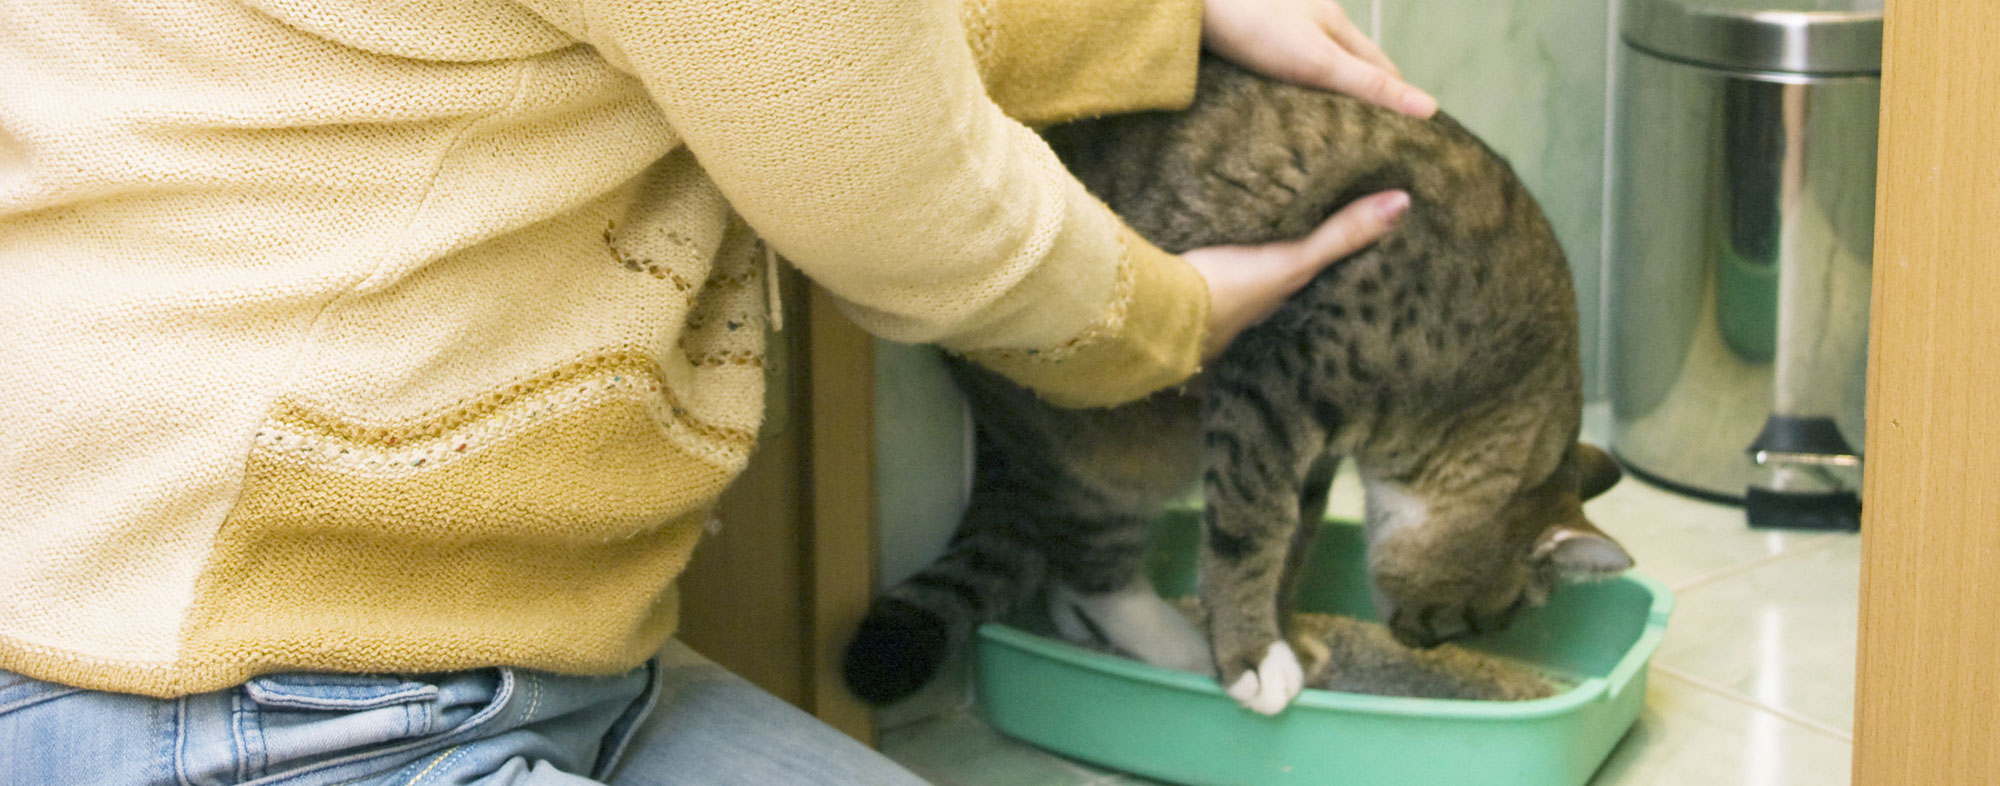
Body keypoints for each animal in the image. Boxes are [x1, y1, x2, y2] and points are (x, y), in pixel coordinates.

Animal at [836, 58, 1632, 712]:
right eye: (1486, 616)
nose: (1424, 645)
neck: (1482, 373)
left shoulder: (1315, 451)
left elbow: (1295, 543)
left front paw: (1286, 635)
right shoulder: (1274, 384)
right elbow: (1254, 531)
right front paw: (1251, 655)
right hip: (1097, 452)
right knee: (1091, 572)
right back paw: (1182, 652)